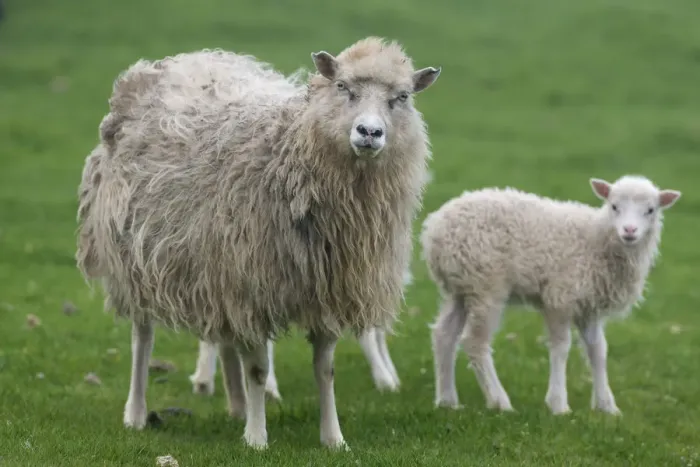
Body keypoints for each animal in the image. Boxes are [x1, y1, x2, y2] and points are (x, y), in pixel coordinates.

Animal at [76, 37, 441, 450]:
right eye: (342, 87)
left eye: (402, 96)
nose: (369, 132)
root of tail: (189, 59)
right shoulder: (252, 286)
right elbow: (257, 369)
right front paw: (256, 437)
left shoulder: (327, 289)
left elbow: (325, 370)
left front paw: (333, 437)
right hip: (134, 257)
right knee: (143, 337)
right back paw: (137, 412)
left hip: (214, 267)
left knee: (223, 338)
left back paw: (236, 405)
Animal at [421, 175, 680, 415]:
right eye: (614, 206)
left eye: (651, 210)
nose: (629, 230)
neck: (596, 238)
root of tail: (434, 230)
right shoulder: (560, 298)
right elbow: (561, 347)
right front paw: (558, 404)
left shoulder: (589, 306)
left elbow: (598, 351)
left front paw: (607, 406)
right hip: (486, 284)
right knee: (475, 342)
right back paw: (500, 401)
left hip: (461, 287)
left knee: (444, 335)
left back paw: (447, 400)